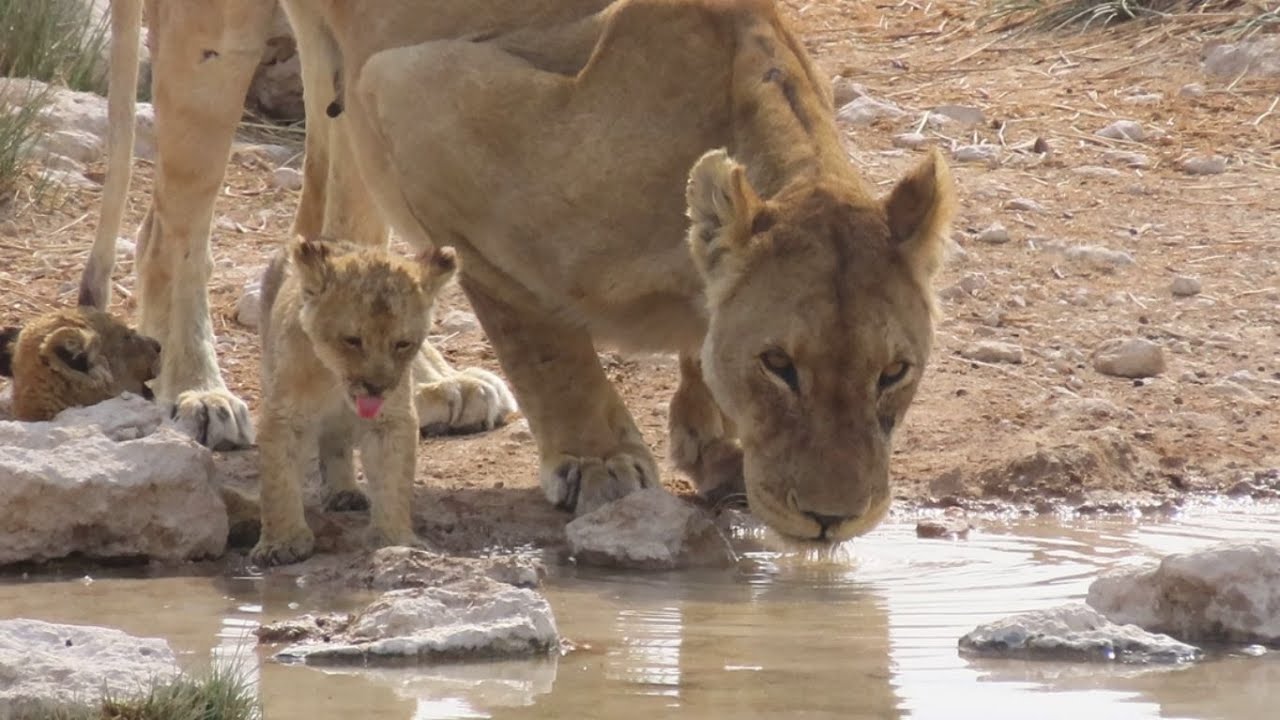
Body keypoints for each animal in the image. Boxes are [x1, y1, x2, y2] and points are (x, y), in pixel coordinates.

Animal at [250, 237, 457, 566]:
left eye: (402, 344)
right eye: (352, 340)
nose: (376, 387)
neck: (335, 380)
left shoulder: (392, 419)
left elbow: (393, 477)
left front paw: (395, 539)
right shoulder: (284, 416)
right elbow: (279, 480)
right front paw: (281, 544)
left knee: (336, 443)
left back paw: (344, 492)